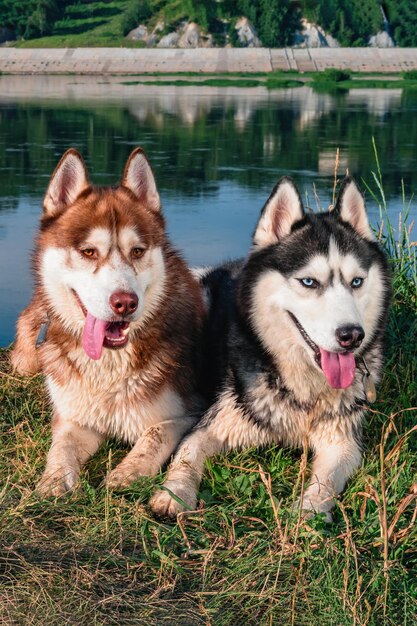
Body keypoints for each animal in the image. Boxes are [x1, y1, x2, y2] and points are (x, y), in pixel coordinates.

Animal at [150, 174, 390, 516]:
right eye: (309, 282)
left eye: (356, 282)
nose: (351, 336)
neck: (300, 389)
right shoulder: (215, 423)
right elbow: (187, 455)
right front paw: (173, 494)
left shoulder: (342, 441)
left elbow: (326, 482)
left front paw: (308, 512)